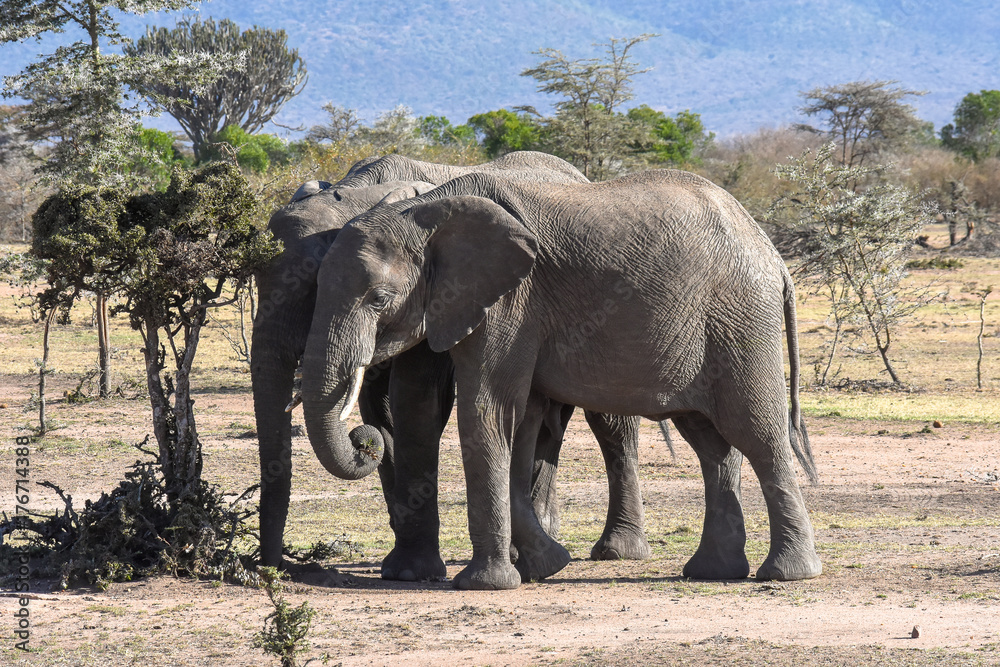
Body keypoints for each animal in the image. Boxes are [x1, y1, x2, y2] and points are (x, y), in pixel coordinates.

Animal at [251, 152, 654, 578]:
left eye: (312, 285)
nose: (276, 568)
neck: (363, 192)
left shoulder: (446, 297)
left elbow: (418, 399)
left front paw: (414, 570)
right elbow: (387, 410)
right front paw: (408, 569)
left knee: (610, 420)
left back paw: (615, 550)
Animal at [299, 167, 821, 590]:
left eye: (379, 299)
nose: (365, 438)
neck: (426, 213)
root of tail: (774, 256)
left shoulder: (510, 303)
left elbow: (488, 412)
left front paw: (487, 584)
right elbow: (520, 422)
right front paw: (546, 566)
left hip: (740, 322)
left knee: (757, 433)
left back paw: (787, 574)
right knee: (711, 444)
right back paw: (712, 572)